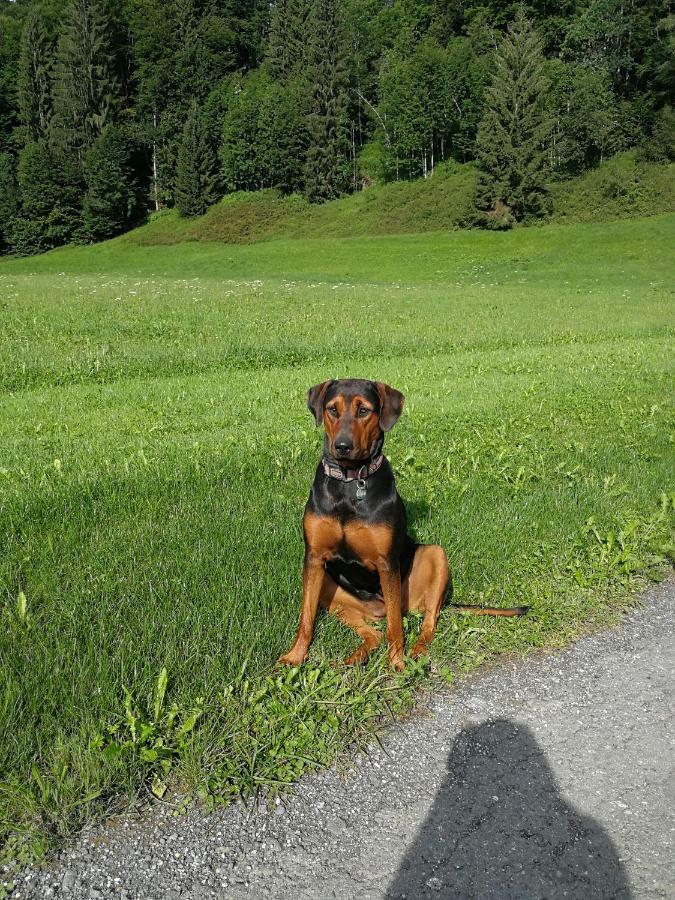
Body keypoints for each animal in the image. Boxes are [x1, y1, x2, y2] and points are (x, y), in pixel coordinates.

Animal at [278, 378, 524, 668]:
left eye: (364, 410)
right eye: (332, 410)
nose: (342, 446)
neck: (350, 484)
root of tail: (377, 608)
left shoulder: (387, 564)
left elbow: (395, 626)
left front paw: (397, 664)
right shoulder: (314, 558)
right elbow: (305, 619)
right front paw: (294, 656)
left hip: (433, 557)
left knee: (427, 619)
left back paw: (417, 652)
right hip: (330, 587)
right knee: (372, 632)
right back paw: (357, 656)